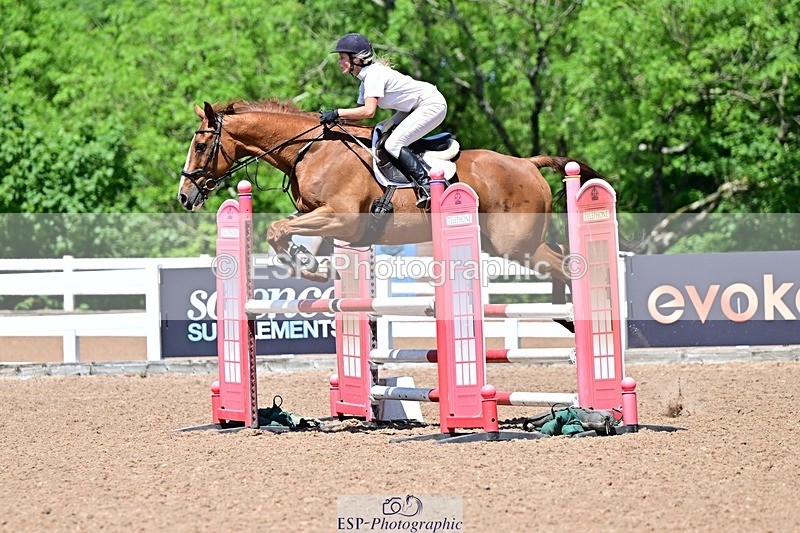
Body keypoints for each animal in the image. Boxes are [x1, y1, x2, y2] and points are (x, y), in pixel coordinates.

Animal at [178, 99, 608, 284]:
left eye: (200, 145)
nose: (184, 197)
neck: (310, 149)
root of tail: (528, 164)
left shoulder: (343, 219)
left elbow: (277, 229)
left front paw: (308, 265)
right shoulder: (315, 215)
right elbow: (281, 231)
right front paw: (311, 266)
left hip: (514, 245)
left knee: (568, 268)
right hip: (507, 244)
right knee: (562, 261)